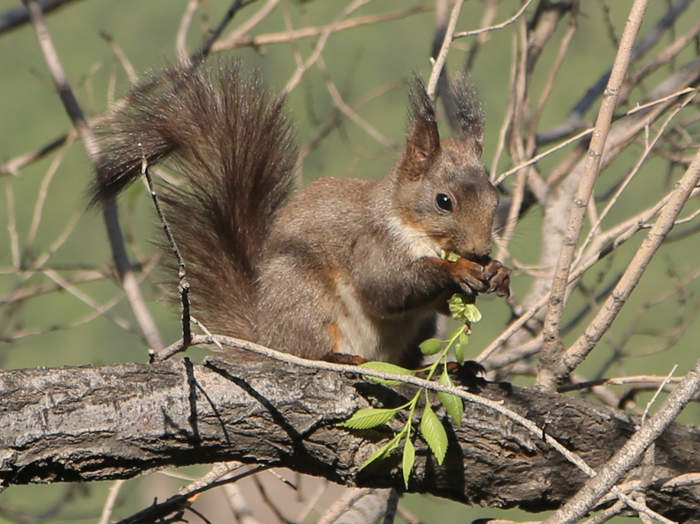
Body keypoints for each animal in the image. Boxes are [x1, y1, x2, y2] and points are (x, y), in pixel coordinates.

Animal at [91, 63, 508, 368]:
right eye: (443, 201)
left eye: (495, 196)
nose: (480, 250)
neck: (414, 228)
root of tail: (266, 338)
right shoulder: (370, 243)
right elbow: (386, 287)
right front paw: (457, 269)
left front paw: (497, 272)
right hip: (304, 297)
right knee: (308, 351)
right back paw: (340, 357)